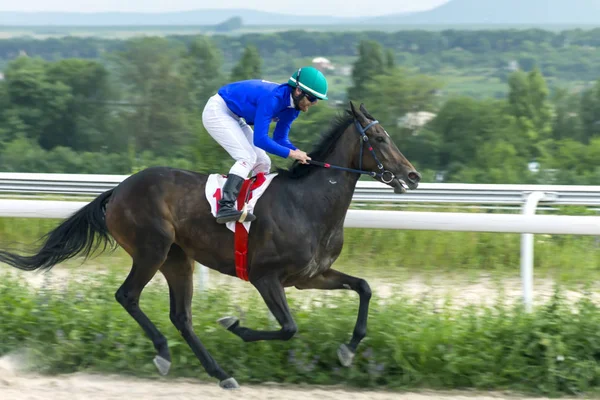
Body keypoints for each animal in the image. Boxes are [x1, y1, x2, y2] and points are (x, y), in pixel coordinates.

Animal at [0, 101, 422, 390]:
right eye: (380, 138)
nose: (413, 175)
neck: (308, 204)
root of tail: (118, 190)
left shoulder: (310, 276)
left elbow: (364, 288)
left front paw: (349, 350)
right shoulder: (264, 276)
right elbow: (288, 328)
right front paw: (235, 325)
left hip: (177, 259)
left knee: (181, 316)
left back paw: (219, 373)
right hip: (152, 249)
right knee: (128, 296)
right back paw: (164, 353)